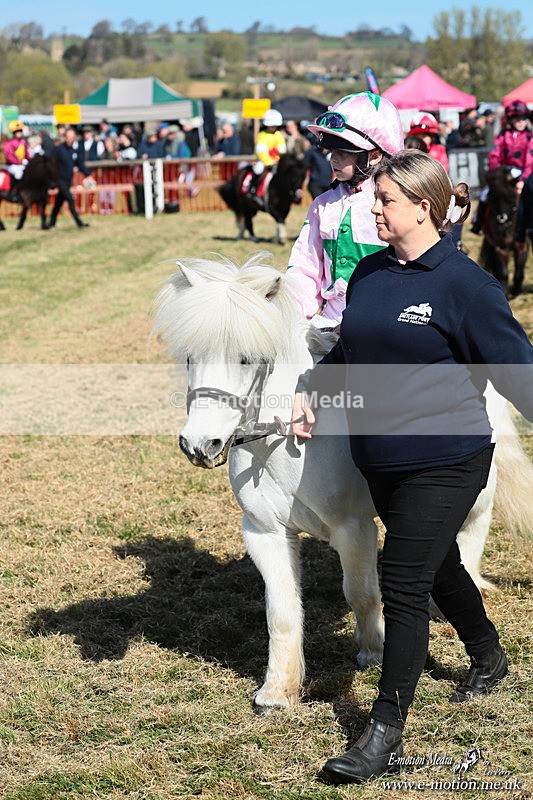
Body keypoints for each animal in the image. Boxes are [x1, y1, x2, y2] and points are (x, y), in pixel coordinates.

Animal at [479, 166, 528, 297]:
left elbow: (519, 270)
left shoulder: (521, 246)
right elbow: (503, 272)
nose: (502, 228)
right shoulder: (500, 247)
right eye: (491, 198)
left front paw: (517, 291)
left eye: (512, 199)